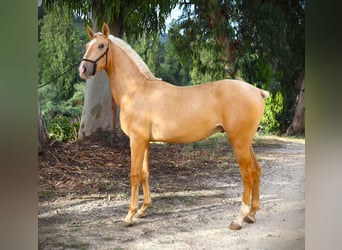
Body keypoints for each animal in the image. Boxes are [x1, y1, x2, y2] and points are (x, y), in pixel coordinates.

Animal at [79, 23, 268, 230]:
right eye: (87, 45)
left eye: (102, 46)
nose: (83, 69)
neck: (136, 90)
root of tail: (257, 91)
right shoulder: (145, 142)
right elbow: (144, 173)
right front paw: (143, 210)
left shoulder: (136, 140)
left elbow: (134, 174)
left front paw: (129, 215)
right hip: (246, 142)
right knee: (256, 170)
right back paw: (252, 215)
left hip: (238, 142)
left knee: (247, 174)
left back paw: (239, 219)